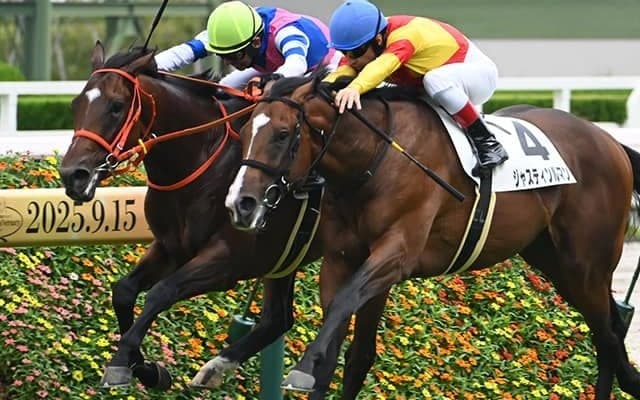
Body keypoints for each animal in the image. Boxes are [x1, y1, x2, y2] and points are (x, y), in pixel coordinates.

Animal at [58, 42, 325, 391]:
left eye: (116, 106)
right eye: (75, 103)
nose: (72, 175)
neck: (204, 162)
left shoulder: (228, 260)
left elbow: (161, 292)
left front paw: (121, 363)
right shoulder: (171, 247)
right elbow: (124, 292)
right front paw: (146, 369)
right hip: (285, 259)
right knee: (278, 318)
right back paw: (217, 368)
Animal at [222, 68, 640, 399]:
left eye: (281, 134)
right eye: (245, 130)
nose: (241, 202)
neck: (375, 157)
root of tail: (610, 142)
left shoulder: (397, 252)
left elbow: (343, 307)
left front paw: (304, 367)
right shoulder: (345, 257)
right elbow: (351, 346)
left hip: (586, 266)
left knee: (607, 336)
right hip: (554, 261)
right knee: (610, 331)